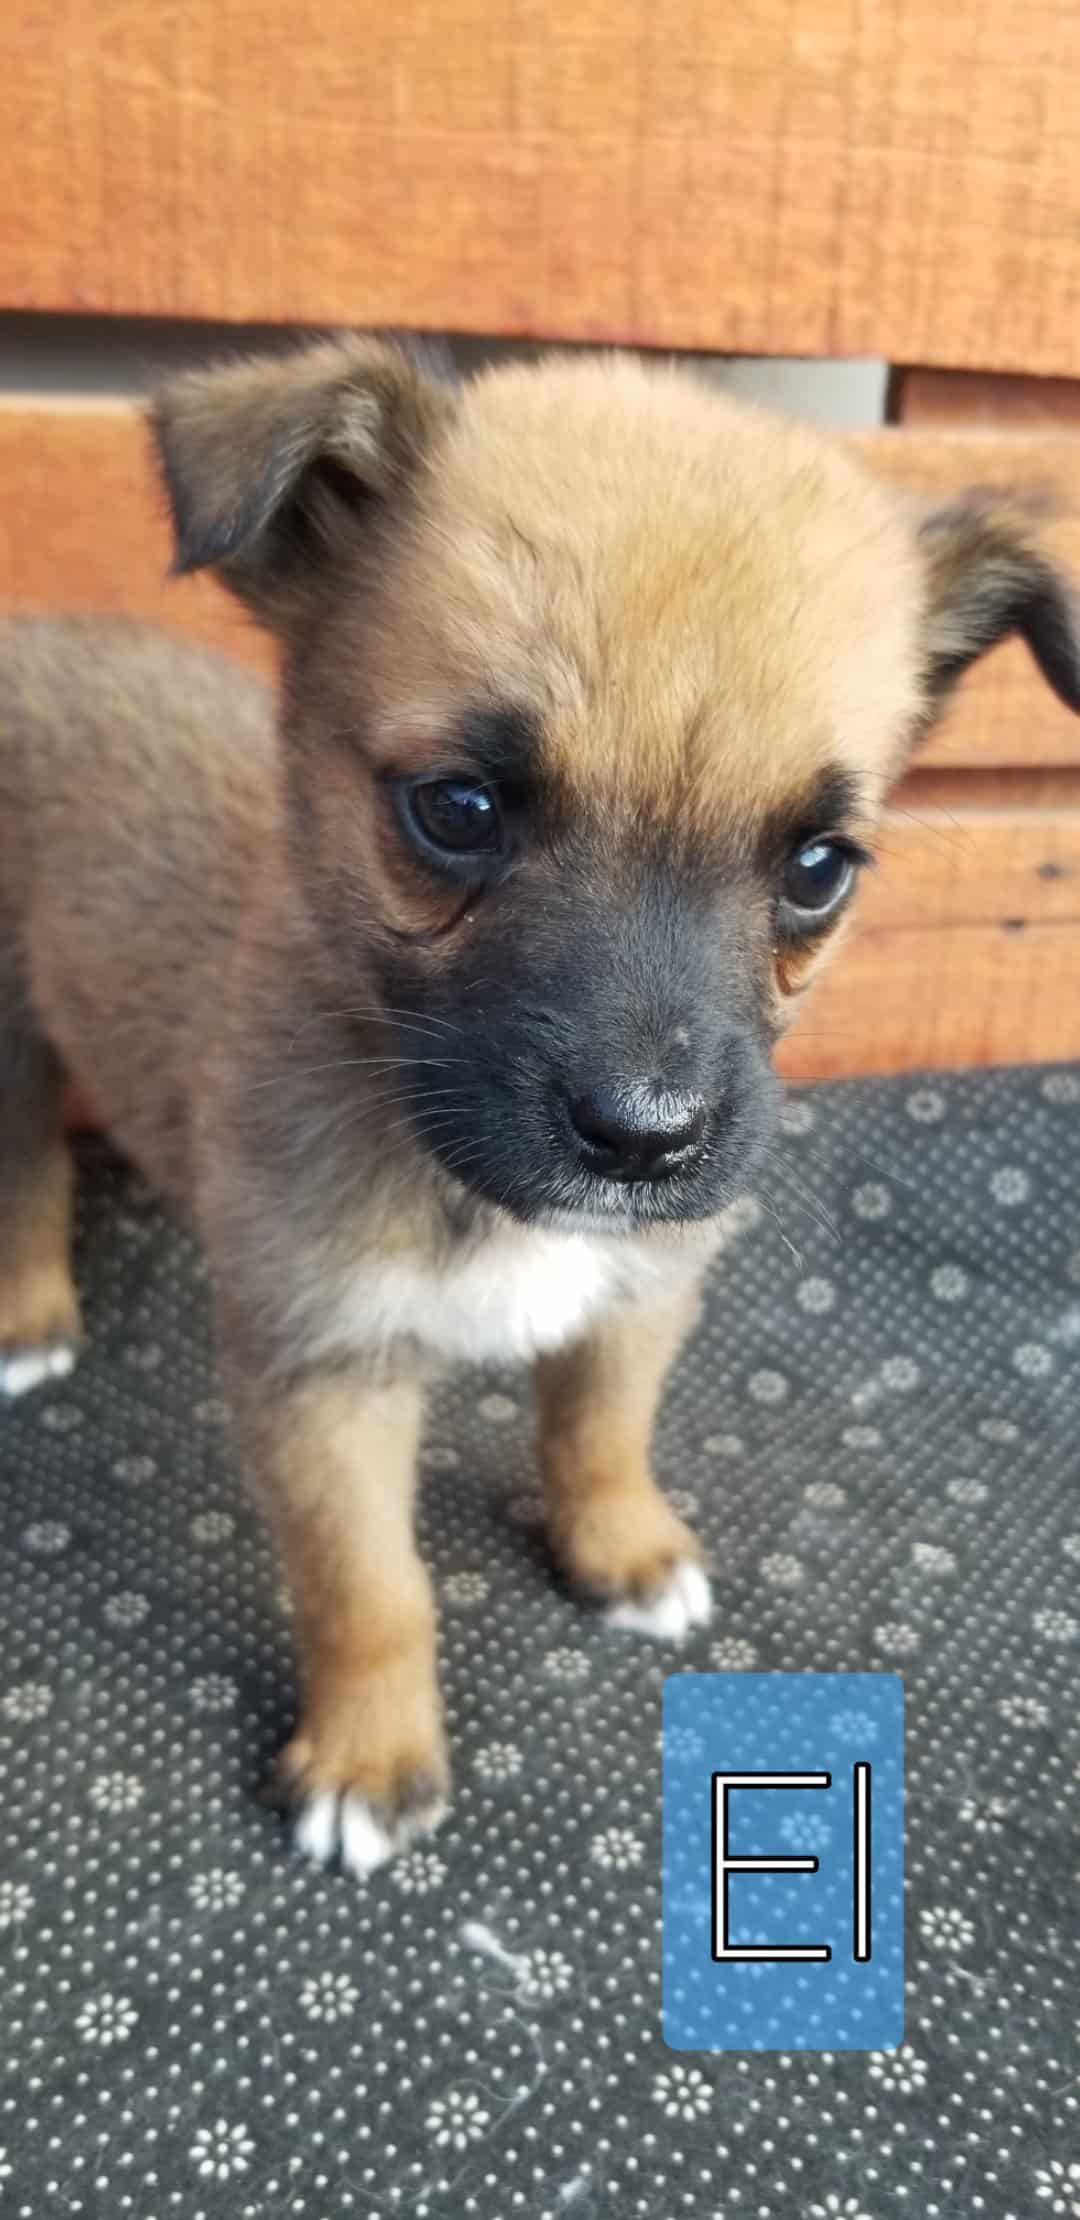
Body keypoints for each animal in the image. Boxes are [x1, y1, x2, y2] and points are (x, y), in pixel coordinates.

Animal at [2, 346, 1080, 1873]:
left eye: (818, 867)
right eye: (456, 807)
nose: (645, 1136)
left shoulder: (638, 1289)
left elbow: (600, 1434)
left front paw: (621, 1548)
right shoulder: (324, 1378)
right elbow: (371, 1589)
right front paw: (370, 1757)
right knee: (25, 1160)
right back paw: (31, 1312)